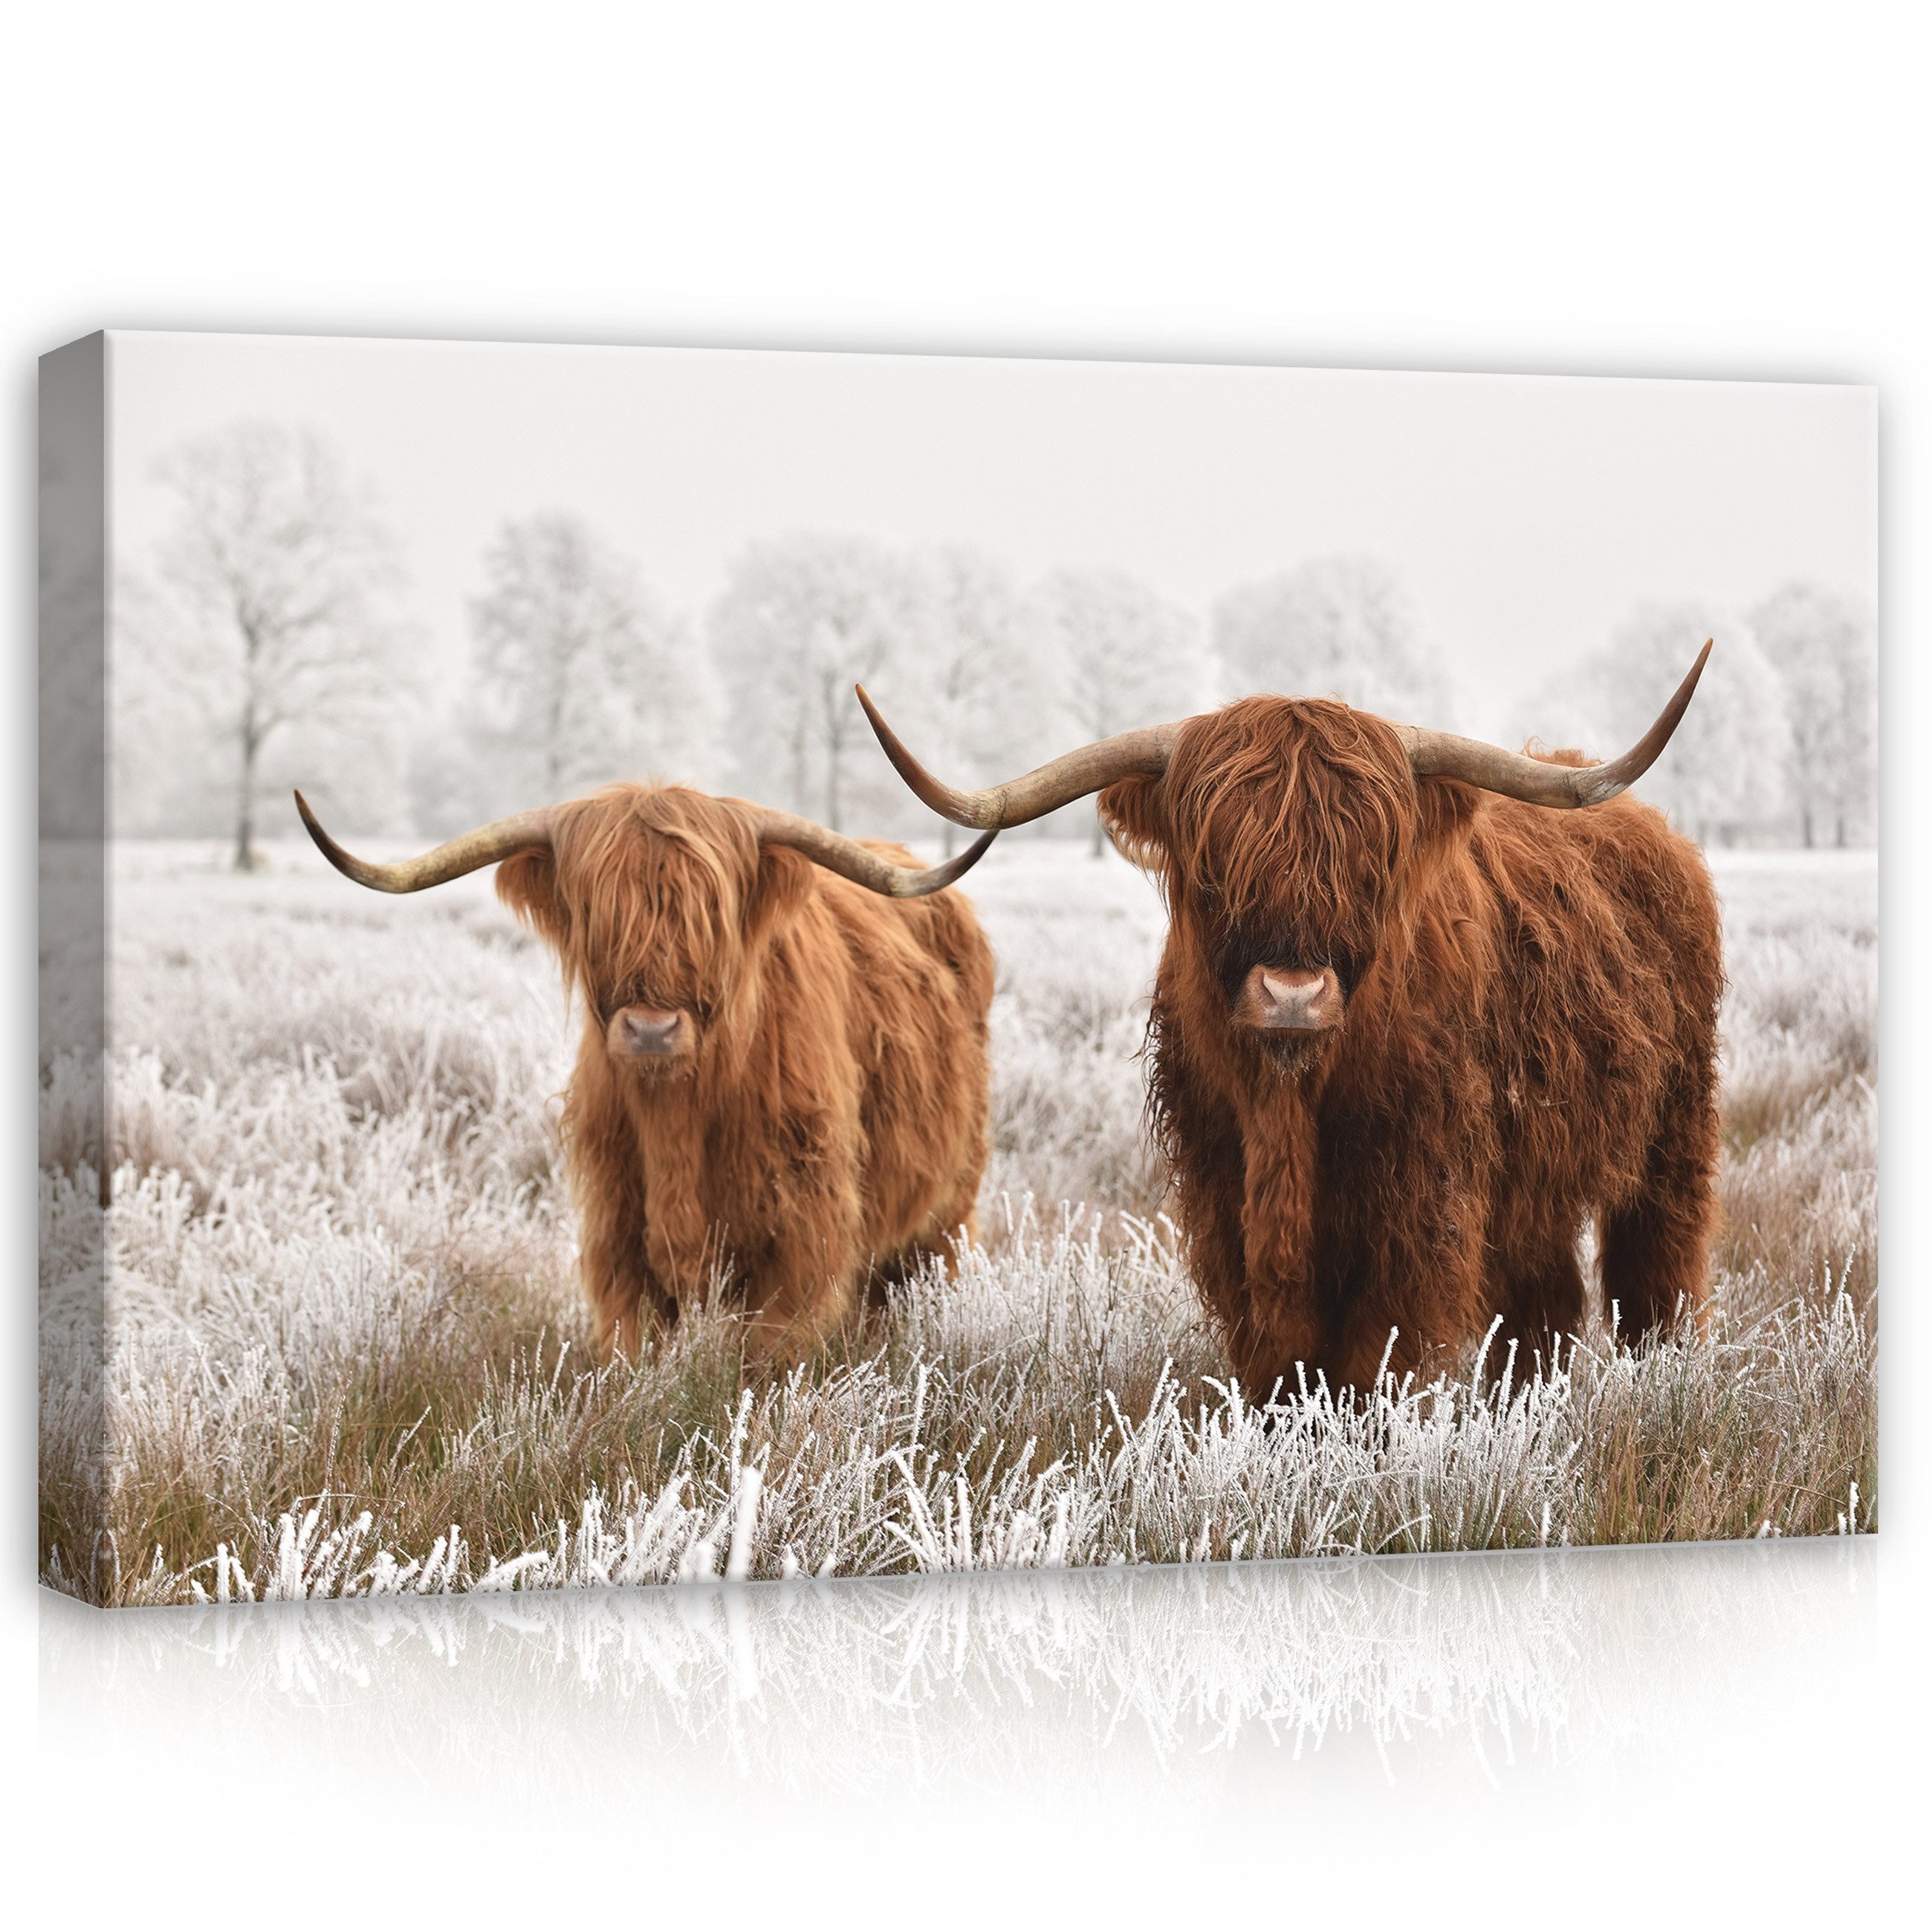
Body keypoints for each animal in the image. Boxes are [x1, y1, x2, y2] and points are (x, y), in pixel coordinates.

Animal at [295, 783, 998, 1364]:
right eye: (596, 913)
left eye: (710, 915)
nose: (653, 1030)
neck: (676, 1118)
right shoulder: (618, 1234)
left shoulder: (801, 1235)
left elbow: (768, 1356)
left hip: (946, 1210)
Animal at [856, 646, 1722, 1397]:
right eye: (1214, 865)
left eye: (1371, 865)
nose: (1292, 995)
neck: (1290, 1105)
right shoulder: (1224, 1197)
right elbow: (1281, 1359)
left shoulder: (1422, 1203)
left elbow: (1378, 1357)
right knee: (1546, 1302)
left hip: (1673, 1133)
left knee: (1656, 1270)